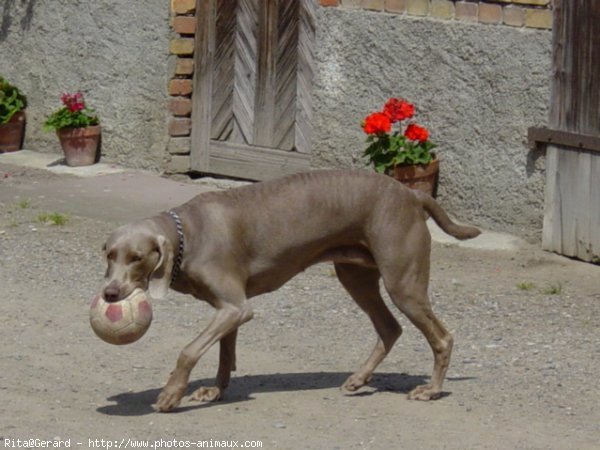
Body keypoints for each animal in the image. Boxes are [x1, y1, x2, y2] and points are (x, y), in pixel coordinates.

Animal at [101, 169, 480, 412]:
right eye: (109, 254)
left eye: (137, 258)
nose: (110, 294)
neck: (188, 234)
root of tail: (411, 193)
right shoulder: (229, 308)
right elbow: (224, 353)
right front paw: (215, 390)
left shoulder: (235, 307)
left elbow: (189, 350)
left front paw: (170, 395)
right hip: (355, 276)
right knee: (389, 327)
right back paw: (358, 380)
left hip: (402, 282)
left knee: (441, 337)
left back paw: (431, 390)